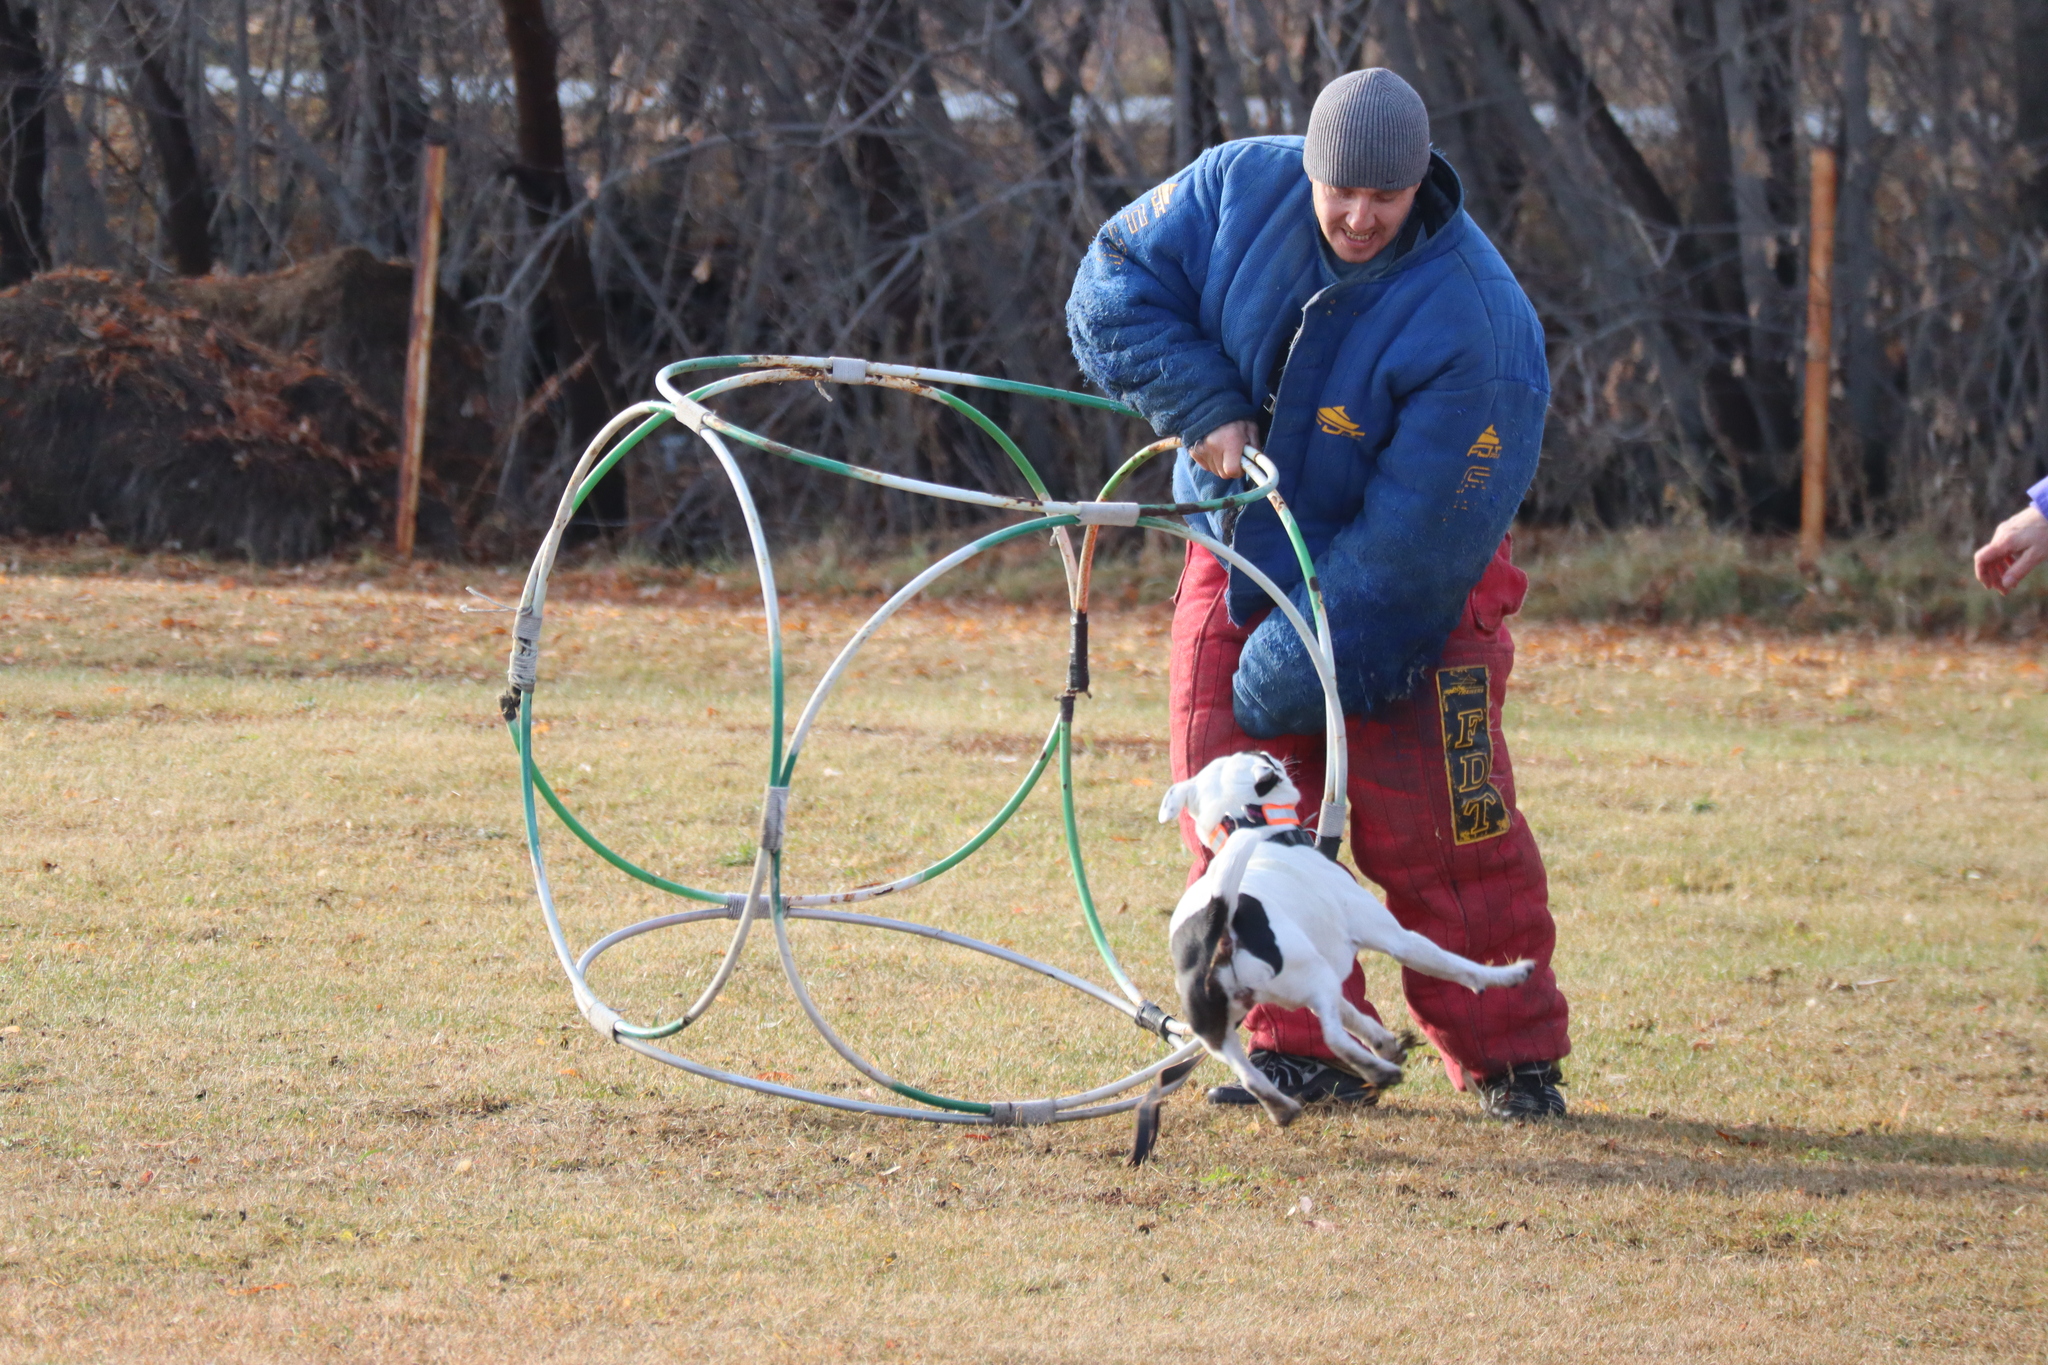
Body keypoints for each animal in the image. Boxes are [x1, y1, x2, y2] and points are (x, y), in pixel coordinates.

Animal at [1163, 753, 1531, 1129]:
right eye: (1262, 758)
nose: (1277, 757)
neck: (1258, 833)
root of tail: (1214, 926)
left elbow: (1356, 1016)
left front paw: (1385, 1043)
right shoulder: (1398, 939)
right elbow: (1458, 967)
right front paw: (1503, 975)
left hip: (1221, 1029)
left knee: (1251, 1073)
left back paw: (1283, 1106)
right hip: (1312, 978)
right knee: (1333, 1038)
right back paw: (1380, 1072)